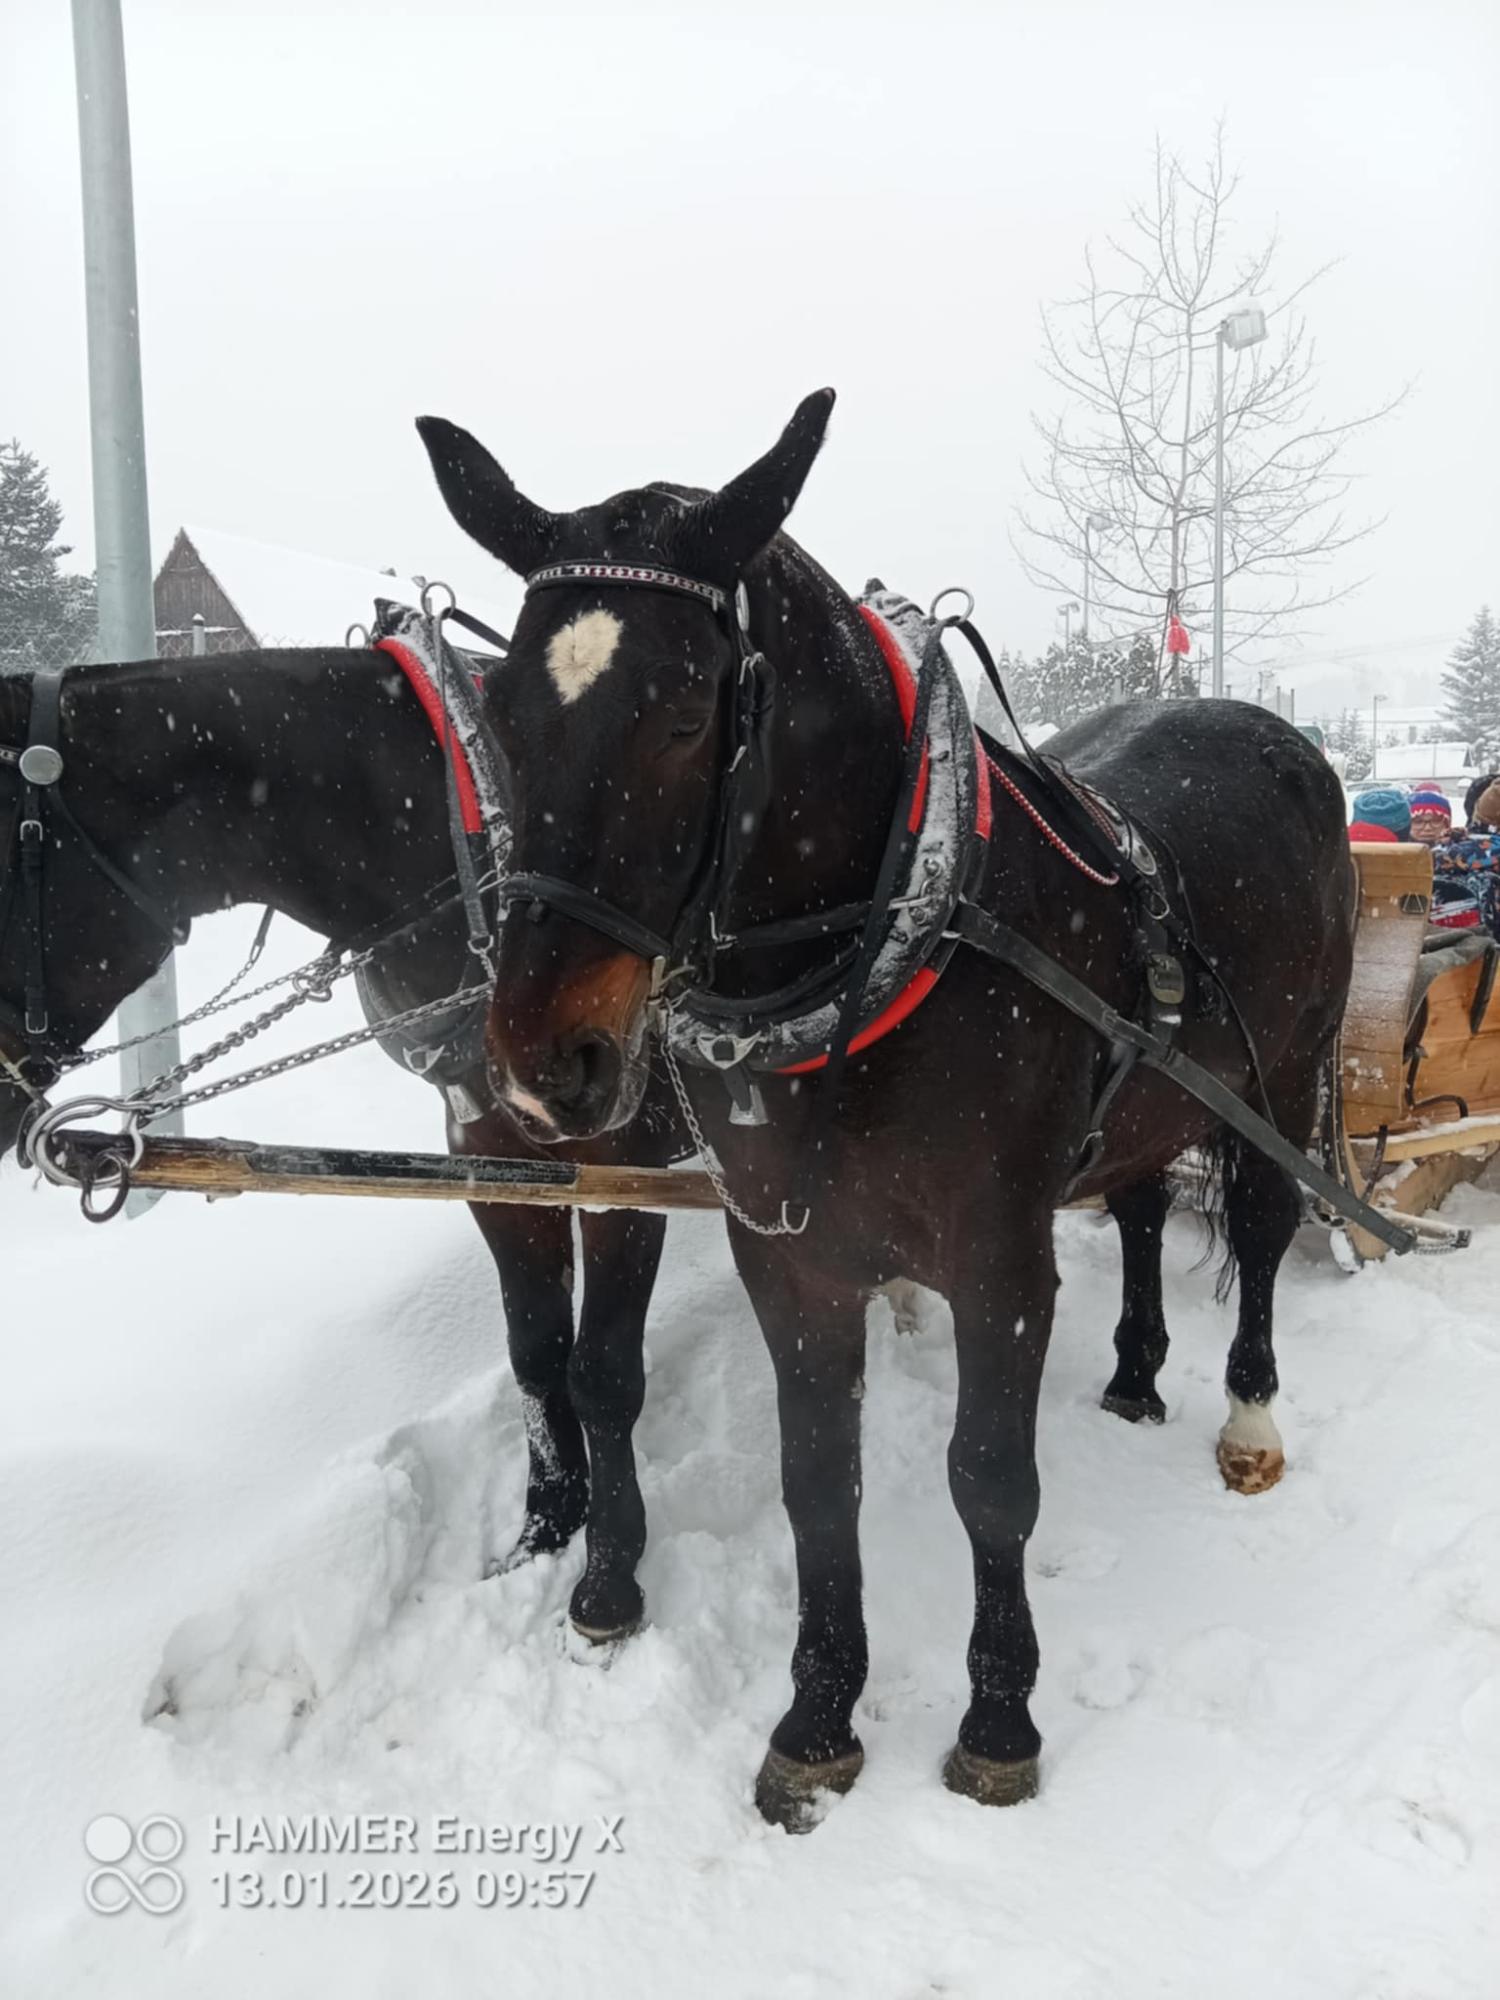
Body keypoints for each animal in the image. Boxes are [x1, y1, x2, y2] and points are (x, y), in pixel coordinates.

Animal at [0, 643, 674, 1640]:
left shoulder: (630, 1157)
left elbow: (602, 1371)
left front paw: (610, 1580)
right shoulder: (484, 1142)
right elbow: (537, 1349)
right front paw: (545, 1529)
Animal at [415, 388, 1355, 1828]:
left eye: (683, 709)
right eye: (504, 712)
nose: (535, 1061)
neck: (885, 947)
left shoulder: (1001, 1263)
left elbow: (991, 1480)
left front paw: (999, 1717)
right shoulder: (792, 1260)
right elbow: (819, 1481)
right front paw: (816, 1714)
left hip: (1285, 1074)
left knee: (1255, 1225)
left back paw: (1246, 1418)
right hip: (1148, 1099)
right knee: (1144, 1203)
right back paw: (1137, 1372)